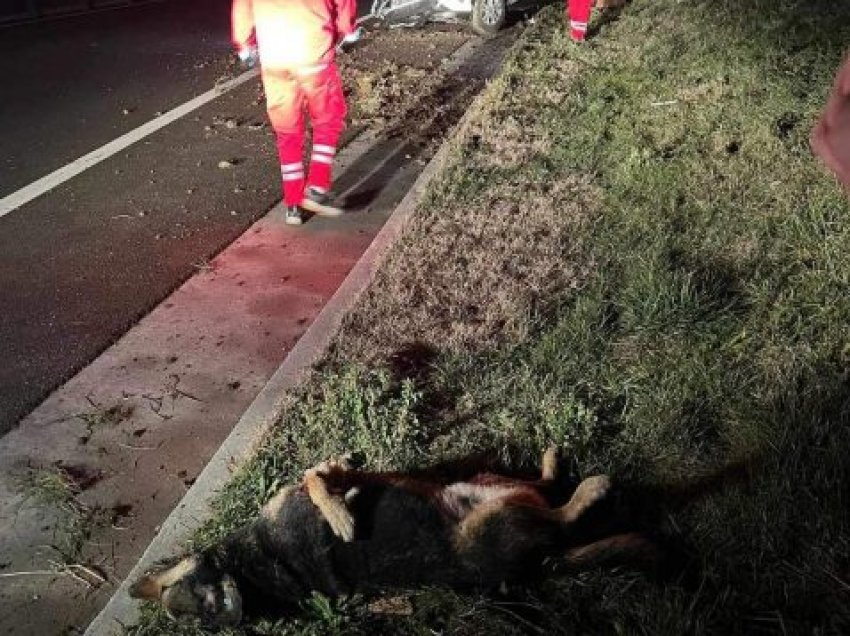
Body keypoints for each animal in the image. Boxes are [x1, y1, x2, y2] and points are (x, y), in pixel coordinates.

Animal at [131, 448, 648, 628]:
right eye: (201, 612)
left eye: (196, 594)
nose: (223, 615)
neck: (252, 567)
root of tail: (538, 564)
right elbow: (319, 477)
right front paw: (340, 512)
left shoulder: (319, 481)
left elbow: (319, 474)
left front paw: (339, 508)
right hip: (500, 516)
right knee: (564, 513)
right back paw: (589, 487)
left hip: (491, 482)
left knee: (546, 487)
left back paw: (552, 461)